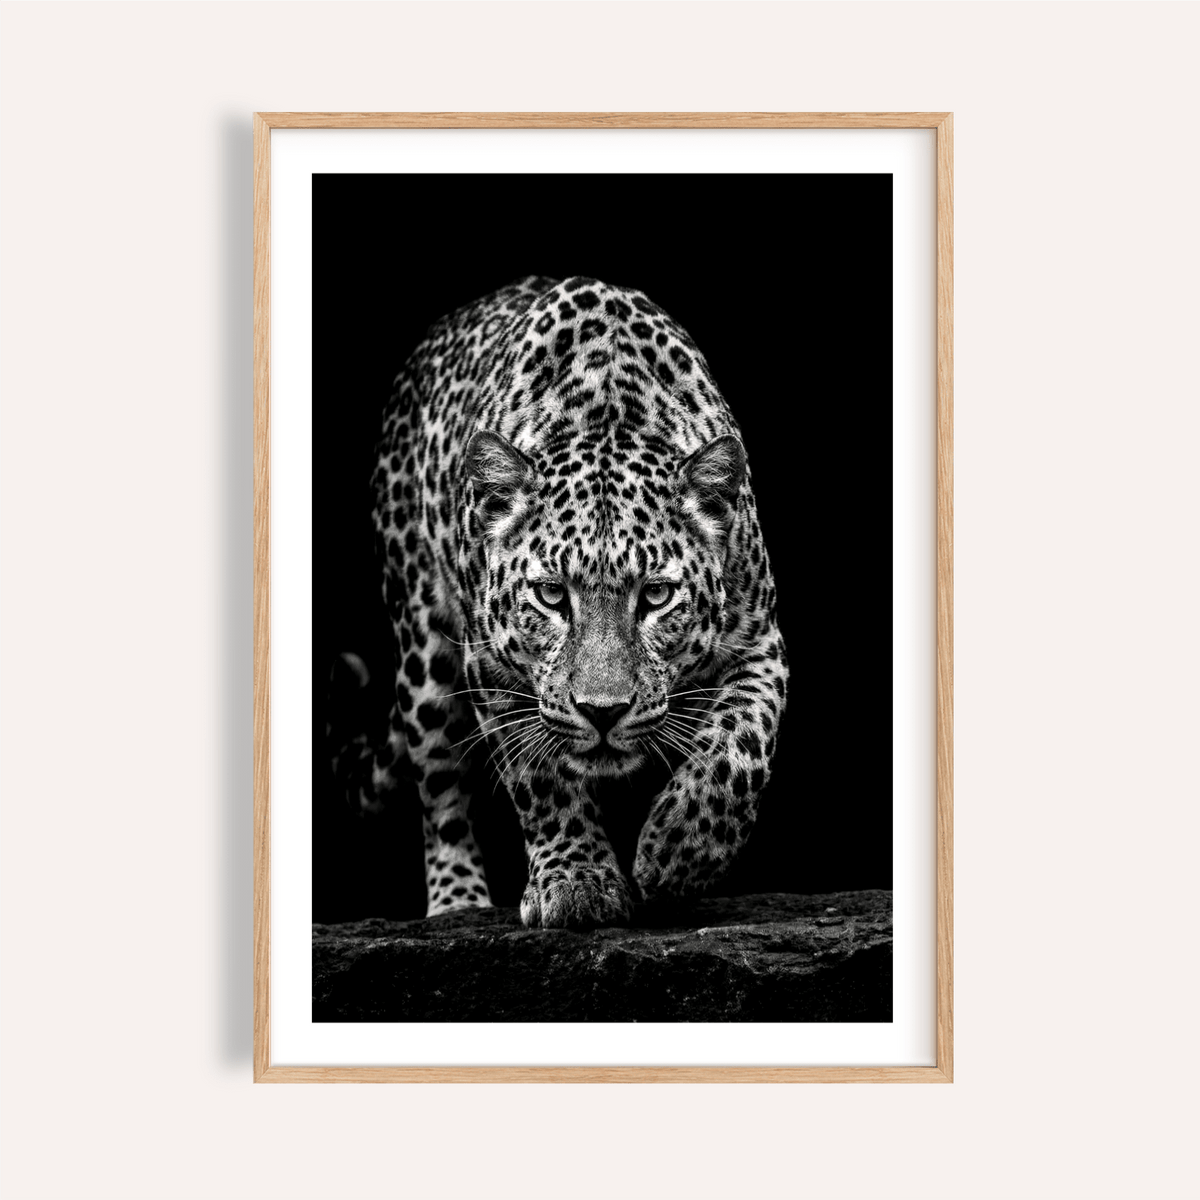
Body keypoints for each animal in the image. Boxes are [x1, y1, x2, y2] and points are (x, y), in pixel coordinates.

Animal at [344, 275, 788, 929]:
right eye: (552, 595)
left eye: (656, 596)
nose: (603, 712)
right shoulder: (491, 663)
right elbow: (540, 777)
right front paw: (578, 882)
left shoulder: (760, 642)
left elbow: (740, 744)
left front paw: (678, 850)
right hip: (420, 648)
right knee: (439, 788)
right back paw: (456, 902)